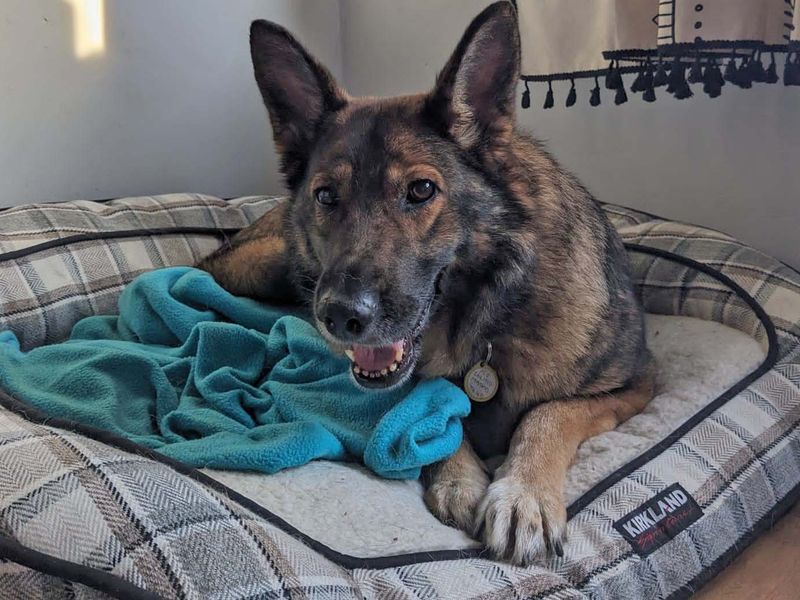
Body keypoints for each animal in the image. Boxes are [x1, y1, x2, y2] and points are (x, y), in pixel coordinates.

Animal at [197, 0, 652, 564]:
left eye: (420, 190)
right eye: (326, 196)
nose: (340, 318)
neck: (488, 316)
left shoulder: (636, 384)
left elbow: (549, 415)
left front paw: (523, 493)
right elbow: (432, 410)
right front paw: (459, 478)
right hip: (269, 264)